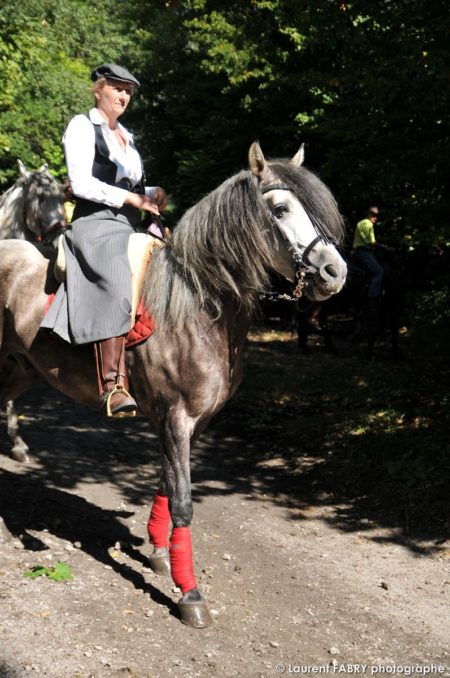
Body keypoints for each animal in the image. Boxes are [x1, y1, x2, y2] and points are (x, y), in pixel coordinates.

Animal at [0, 143, 348, 628]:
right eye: (280, 209)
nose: (336, 272)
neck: (200, 308)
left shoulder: (191, 422)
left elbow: (166, 483)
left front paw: (159, 554)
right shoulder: (176, 418)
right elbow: (182, 498)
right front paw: (190, 592)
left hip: (21, 367)